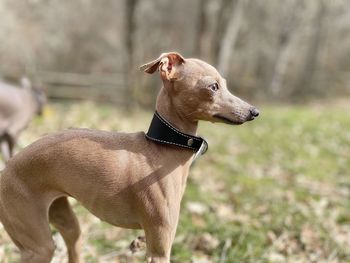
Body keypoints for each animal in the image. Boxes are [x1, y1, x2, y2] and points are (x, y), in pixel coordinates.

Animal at [0, 52, 258, 262]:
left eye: (224, 84)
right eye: (213, 86)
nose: (254, 112)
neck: (161, 148)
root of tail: (6, 169)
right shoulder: (159, 249)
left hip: (65, 220)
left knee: (73, 240)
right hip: (37, 243)